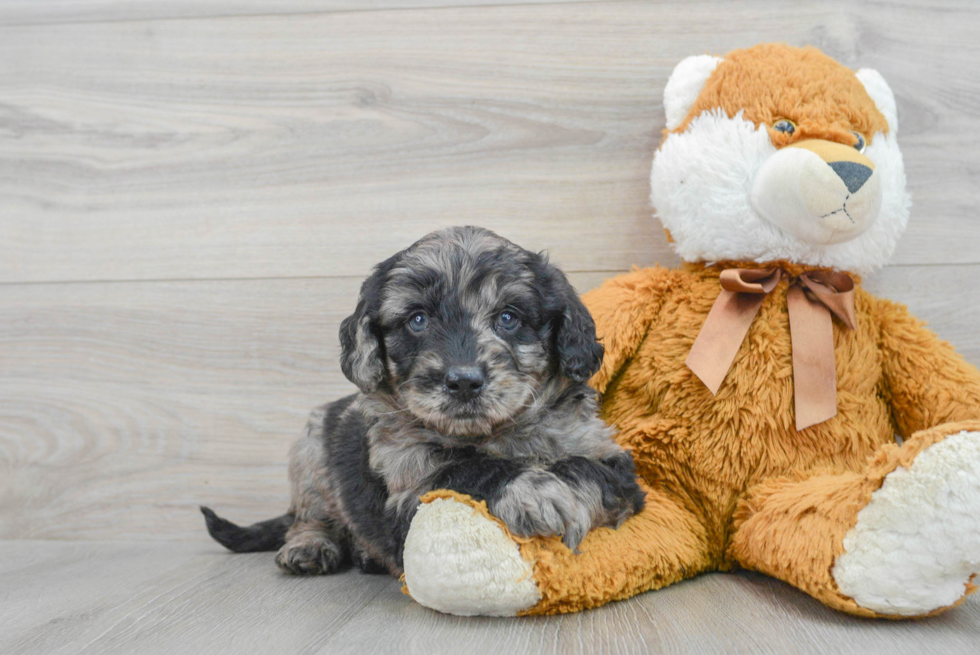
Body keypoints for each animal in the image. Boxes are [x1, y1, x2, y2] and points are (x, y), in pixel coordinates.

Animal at [201, 228, 644, 576]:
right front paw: (531, 489)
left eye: (508, 317)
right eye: (418, 320)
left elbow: (585, 469)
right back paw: (310, 545)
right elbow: (463, 470)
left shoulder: (609, 458)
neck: (493, 433)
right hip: (310, 451)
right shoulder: (408, 486)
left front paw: (558, 490)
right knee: (309, 515)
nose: (464, 382)